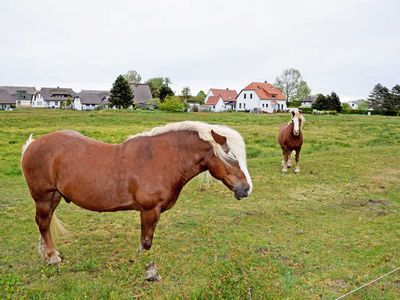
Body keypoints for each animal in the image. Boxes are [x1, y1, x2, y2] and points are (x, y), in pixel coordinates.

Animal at [20, 121, 252, 264]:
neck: (160, 159)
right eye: (231, 155)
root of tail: (32, 145)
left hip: (54, 196)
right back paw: (52, 257)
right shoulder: (149, 210)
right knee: (42, 223)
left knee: (45, 223)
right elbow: (146, 242)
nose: (246, 188)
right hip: (43, 197)